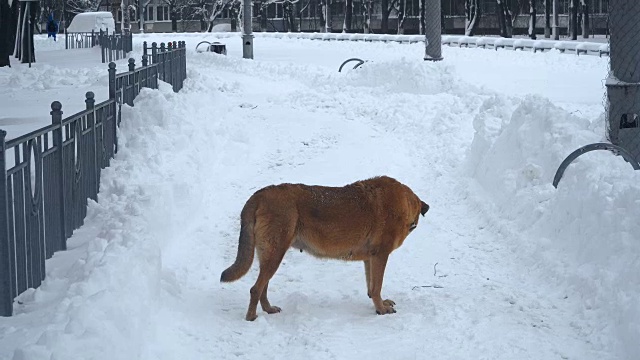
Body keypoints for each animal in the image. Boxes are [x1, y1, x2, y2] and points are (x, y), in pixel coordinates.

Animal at [220, 176, 430, 320]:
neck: (404, 203)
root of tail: (259, 195)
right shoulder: (380, 255)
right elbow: (377, 286)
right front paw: (381, 309)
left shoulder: (369, 258)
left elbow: (371, 287)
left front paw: (378, 304)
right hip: (275, 254)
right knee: (255, 288)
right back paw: (251, 317)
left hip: (271, 255)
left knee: (263, 286)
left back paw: (269, 309)